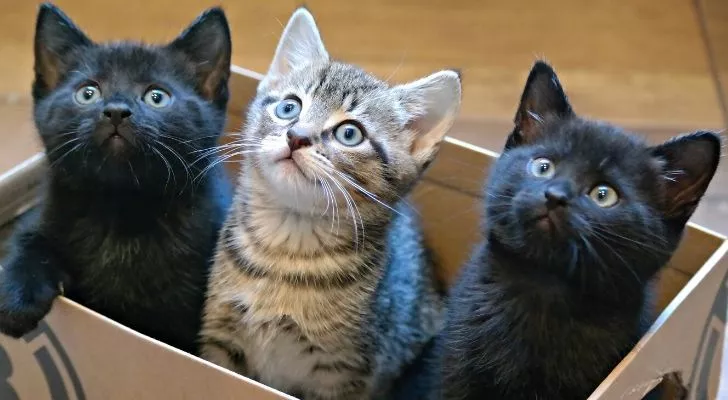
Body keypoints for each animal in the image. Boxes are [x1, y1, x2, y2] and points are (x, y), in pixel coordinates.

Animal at [0, 2, 233, 354]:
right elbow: (26, 240)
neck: (121, 208)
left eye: (156, 97)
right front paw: (16, 298)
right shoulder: (44, 215)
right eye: (87, 93)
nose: (116, 111)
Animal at [199, 7, 460, 400]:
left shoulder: (344, 375)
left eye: (349, 133)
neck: (286, 254)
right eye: (289, 107)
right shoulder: (219, 336)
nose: (296, 136)